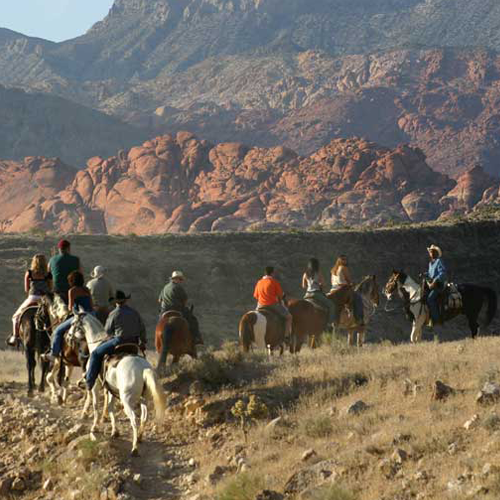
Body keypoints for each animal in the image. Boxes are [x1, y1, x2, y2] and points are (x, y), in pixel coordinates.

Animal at [73, 312, 166, 458]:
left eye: (73, 323)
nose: (69, 336)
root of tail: (143, 369)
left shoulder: (96, 387)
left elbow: (96, 406)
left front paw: (95, 427)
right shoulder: (111, 390)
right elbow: (111, 408)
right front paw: (114, 431)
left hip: (127, 400)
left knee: (134, 420)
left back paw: (134, 448)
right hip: (144, 398)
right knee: (144, 417)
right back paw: (139, 438)